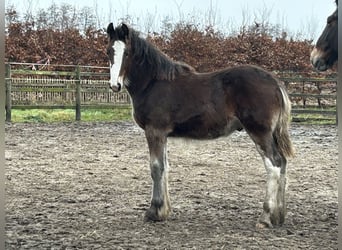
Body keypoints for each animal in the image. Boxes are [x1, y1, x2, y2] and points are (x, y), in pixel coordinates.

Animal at [106, 22, 294, 228]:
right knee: (283, 163)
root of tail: (275, 82)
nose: (115, 85)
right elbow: (165, 167)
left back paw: (266, 217)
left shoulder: (154, 131)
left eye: (127, 53)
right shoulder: (162, 134)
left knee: (274, 165)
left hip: (260, 132)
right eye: (109, 52)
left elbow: (156, 168)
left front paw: (154, 212)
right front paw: (164, 211)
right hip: (271, 134)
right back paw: (279, 216)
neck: (153, 83)